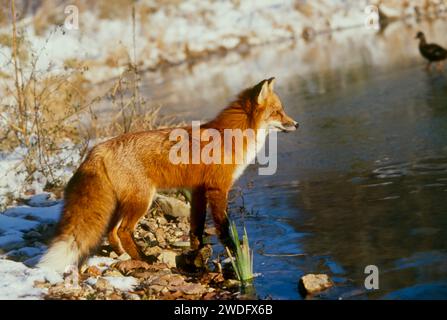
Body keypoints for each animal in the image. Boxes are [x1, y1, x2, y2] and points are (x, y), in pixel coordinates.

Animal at [37, 77, 298, 272]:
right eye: (277, 112)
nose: (297, 124)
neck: (228, 138)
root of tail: (98, 149)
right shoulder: (218, 189)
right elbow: (223, 227)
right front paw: (233, 251)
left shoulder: (198, 190)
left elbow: (196, 227)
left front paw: (197, 252)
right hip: (142, 200)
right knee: (123, 230)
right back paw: (144, 258)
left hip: (121, 204)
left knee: (111, 232)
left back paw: (122, 254)